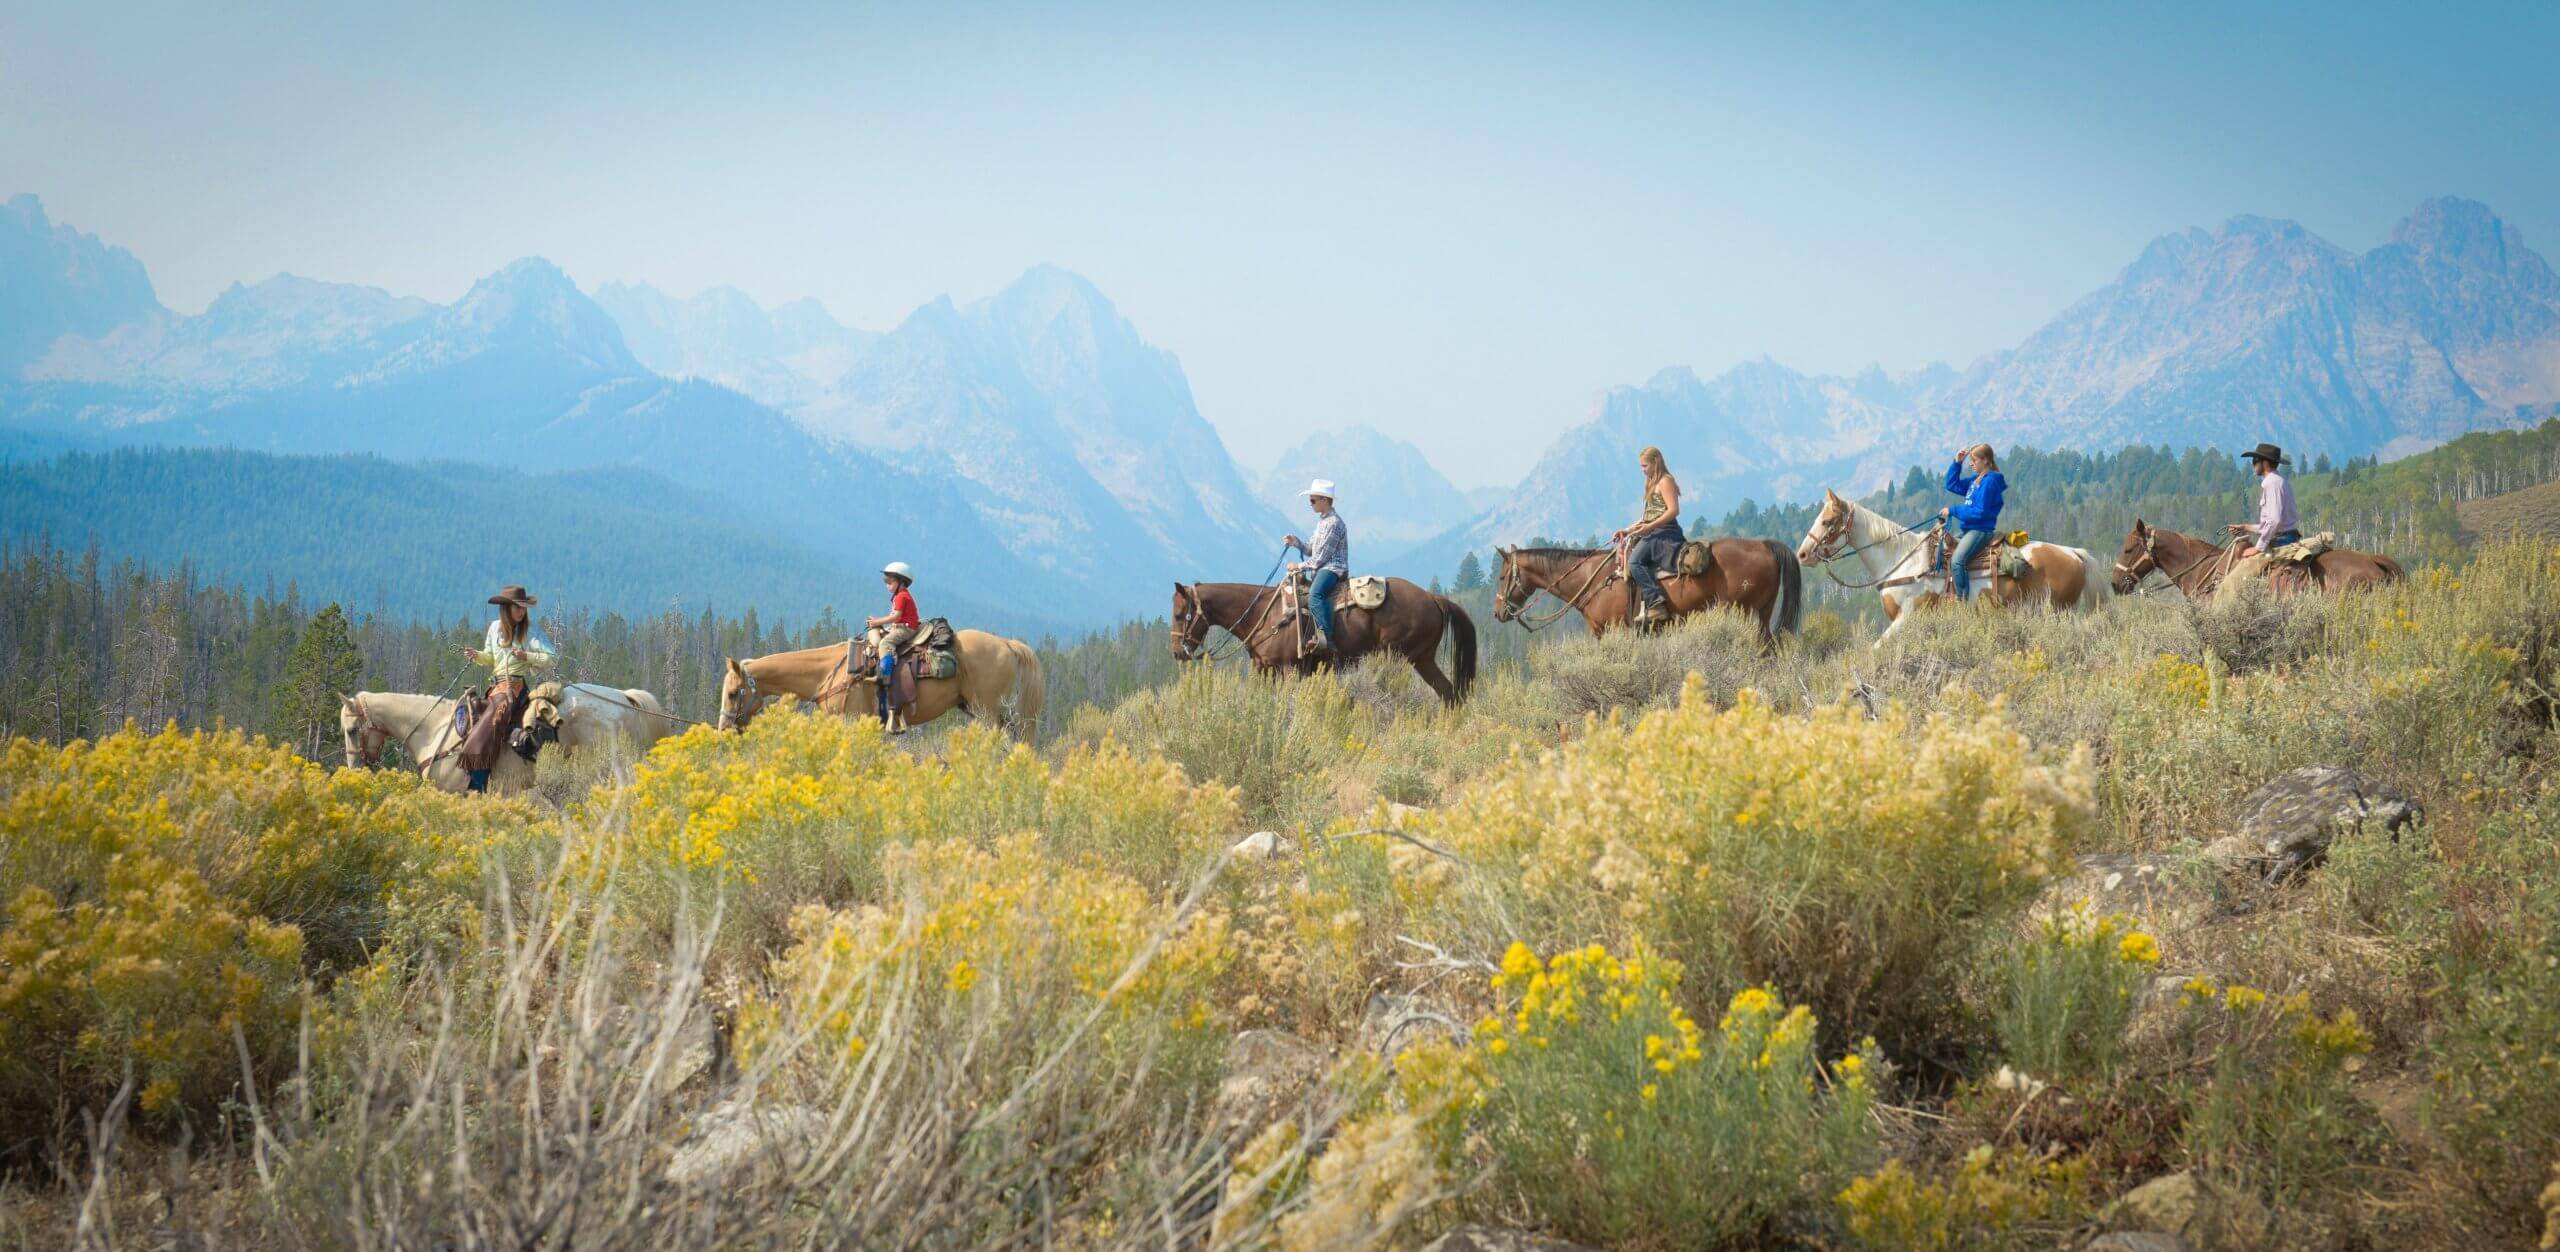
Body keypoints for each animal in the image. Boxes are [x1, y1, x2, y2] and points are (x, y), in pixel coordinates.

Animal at [716, 629, 1044, 737]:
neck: (828, 672)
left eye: (733, 693)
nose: (723, 729)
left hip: (986, 710)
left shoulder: (851, 719)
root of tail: (1007, 643)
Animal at [1167, 576, 1484, 701]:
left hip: (1406, 658)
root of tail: (1433, 597)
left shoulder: (1287, 669)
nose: (1177, 652)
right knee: (1449, 693)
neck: (1263, 613)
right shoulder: (1264, 670)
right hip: (1424, 658)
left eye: (1181, 614)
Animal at [1484, 537, 1802, 640]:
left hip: (1746, 613)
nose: (1497, 612)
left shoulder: (1611, 630)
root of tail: (1764, 545)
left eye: (1501, 576)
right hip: (1762, 613)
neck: (1595, 580)